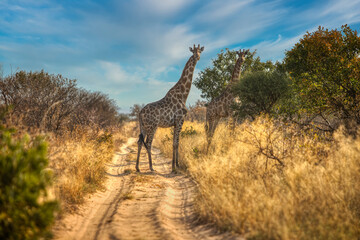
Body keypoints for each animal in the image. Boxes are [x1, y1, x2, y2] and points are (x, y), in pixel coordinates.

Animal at [136, 44, 204, 172]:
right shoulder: (180, 120)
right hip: (152, 126)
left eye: (200, 51)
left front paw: (177, 164)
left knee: (140, 142)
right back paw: (151, 167)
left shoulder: (176, 122)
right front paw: (174, 167)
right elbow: (175, 143)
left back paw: (137, 168)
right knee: (148, 143)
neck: (183, 95)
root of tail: (140, 112)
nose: (197, 57)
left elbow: (176, 142)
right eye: (193, 52)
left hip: (143, 126)